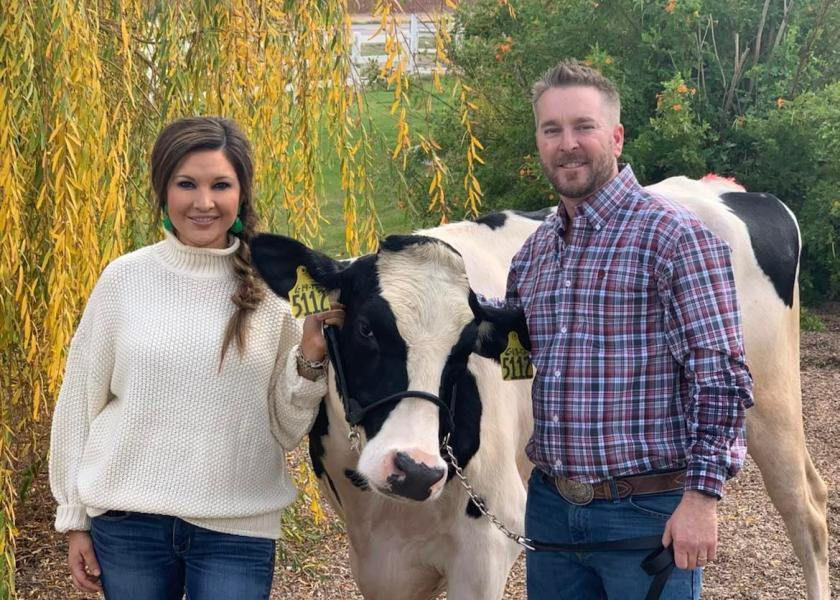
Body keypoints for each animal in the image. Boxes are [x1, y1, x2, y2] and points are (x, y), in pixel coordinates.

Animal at [253, 175, 832, 600]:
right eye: (365, 329)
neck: (389, 514)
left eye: (464, 351)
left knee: (807, 512)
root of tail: (729, 190)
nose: (416, 470)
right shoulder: (378, 564)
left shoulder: (487, 548)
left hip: (770, 399)